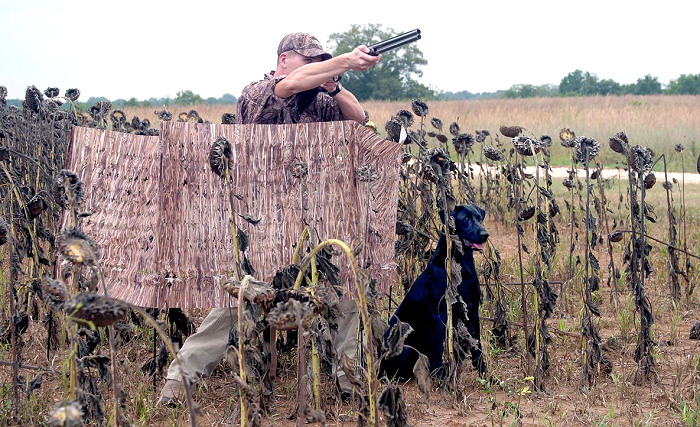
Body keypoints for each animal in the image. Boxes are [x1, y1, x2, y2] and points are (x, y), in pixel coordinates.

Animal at [380, 206, 490, 380]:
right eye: (466, 219)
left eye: (479, 217)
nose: (485, 235)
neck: (462, 265)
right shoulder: (438, 316)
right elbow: (437, 351)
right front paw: (440, 379)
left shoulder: (472, 311)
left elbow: (477, 347)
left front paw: (485, 375)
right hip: (404, 344)